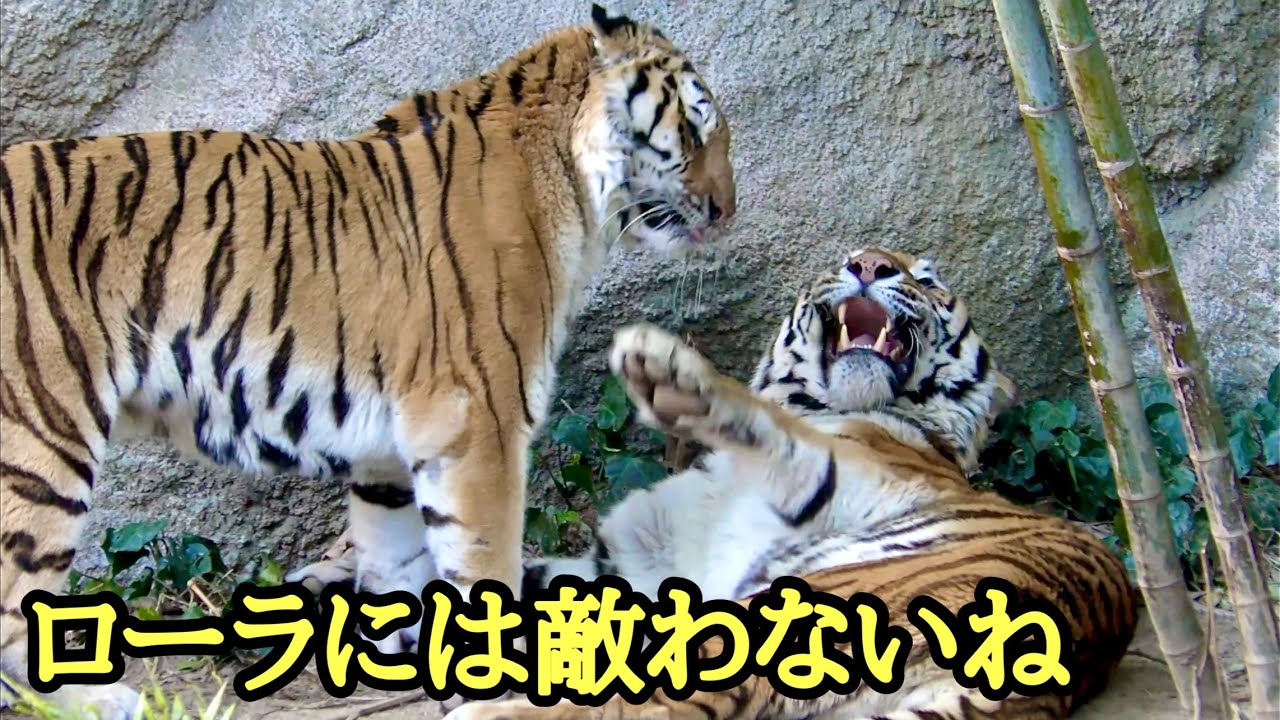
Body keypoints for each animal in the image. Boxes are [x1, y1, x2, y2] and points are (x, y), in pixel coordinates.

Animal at [0, 5, 734, 717]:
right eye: (695, 129)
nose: (729, 208)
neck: (571, 184)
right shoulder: (478, 418)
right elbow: (486, 558)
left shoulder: (392, 449)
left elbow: (400, 557)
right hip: (39, 442)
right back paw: (99, 699)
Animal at [447, 247, 1138, 720]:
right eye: (845, 258)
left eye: (927, 278)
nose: (869, 264)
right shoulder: (623, 563)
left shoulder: (838, 472)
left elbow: (768, 429)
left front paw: (670, 374)